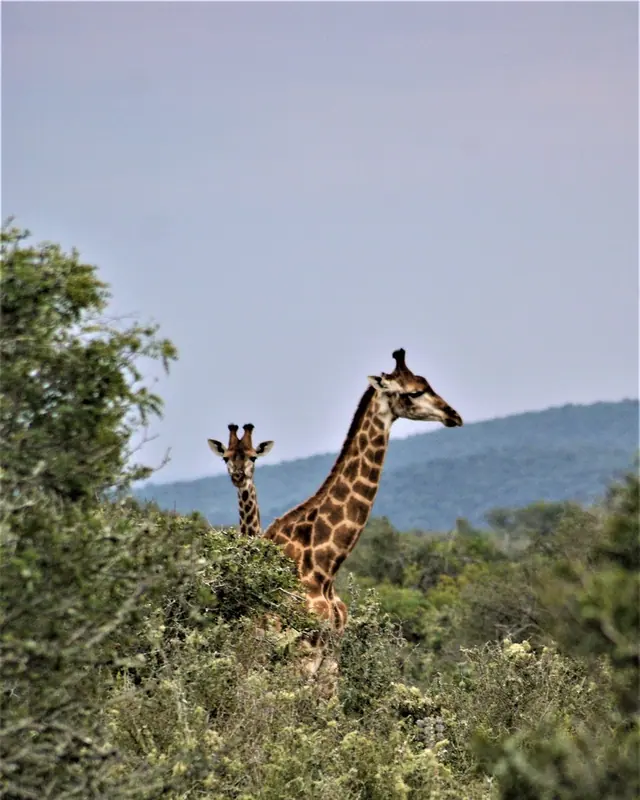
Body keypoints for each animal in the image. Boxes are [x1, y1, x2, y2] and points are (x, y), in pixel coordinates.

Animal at [262, 348, 463, 673]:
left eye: (427, 383)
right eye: (414, 392)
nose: (453, 415)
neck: (324, 567)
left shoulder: (331, 656)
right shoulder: (305, 654)